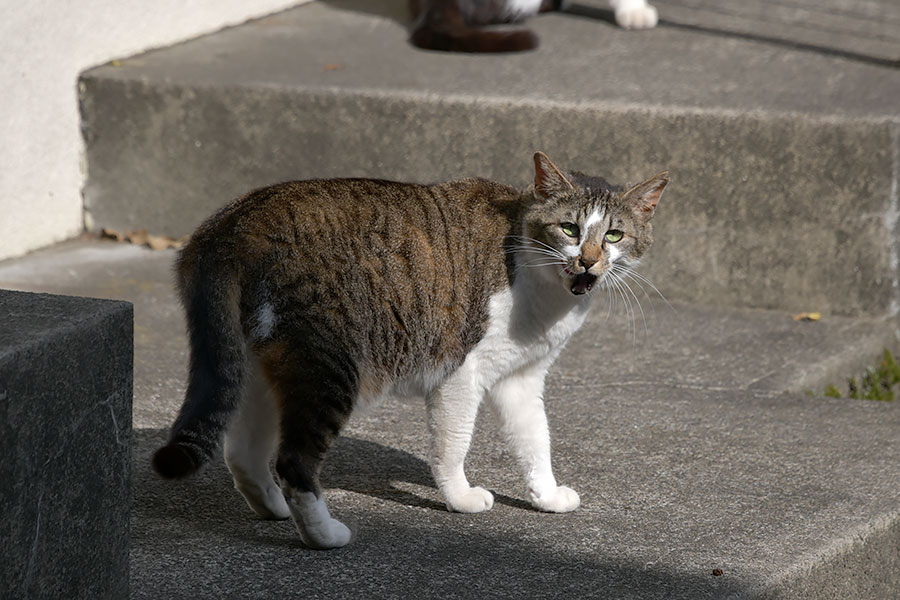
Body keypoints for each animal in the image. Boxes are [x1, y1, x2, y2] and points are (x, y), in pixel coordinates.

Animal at [151, 154, 664, 548]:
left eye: (614, 236)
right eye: (569, 229)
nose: (588, 262)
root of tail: (232, 223)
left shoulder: (522, 379)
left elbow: (535, 440)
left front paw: (548, 497)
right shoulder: (462, 373)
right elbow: (453, 445)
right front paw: (461, 499)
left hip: (261, 368)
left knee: (241, 451)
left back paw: (274, 509)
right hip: (329, 366)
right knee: (292, 461)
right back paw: (324, 535)